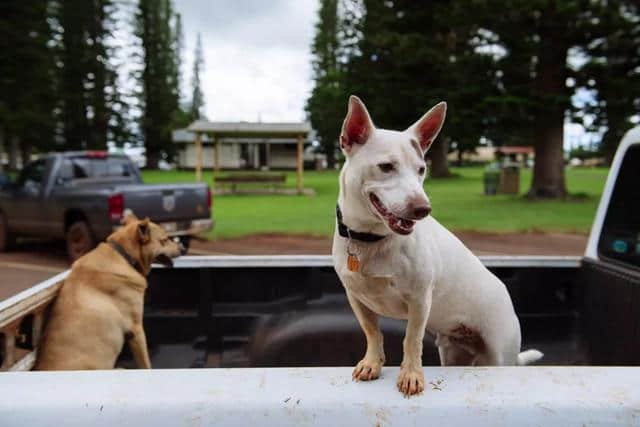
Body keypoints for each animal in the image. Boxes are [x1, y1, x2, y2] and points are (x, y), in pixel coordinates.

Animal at [332, 96, 544, 398]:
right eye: (386, 167)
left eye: (421, 170)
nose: (423, 209)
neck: (371, 239)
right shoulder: (357, 299)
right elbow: (373, 332)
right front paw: (372, 363)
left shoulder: (420, 300)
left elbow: (412, 339)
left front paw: (410, 375)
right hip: (453, 352)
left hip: (499, 356)